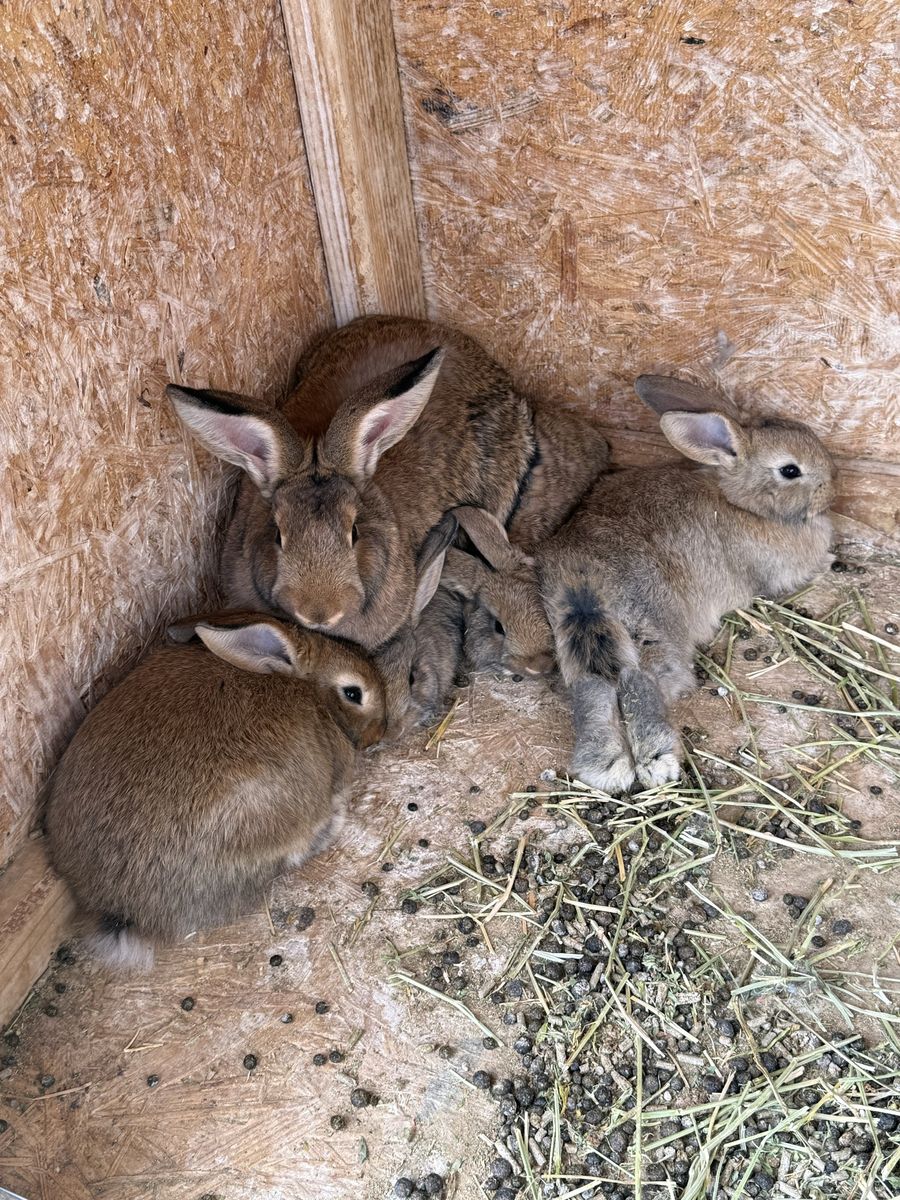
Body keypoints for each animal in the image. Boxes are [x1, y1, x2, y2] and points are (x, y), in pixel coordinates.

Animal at [442, 374, 837, 793]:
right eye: (791, 471)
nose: (833, 485)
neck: (738, 501)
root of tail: (584, 581)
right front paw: (828, 561)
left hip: (579, 638)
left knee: (593, 686)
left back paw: (605, 765)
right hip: (652, 626)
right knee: (641, 680)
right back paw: (657, 760)